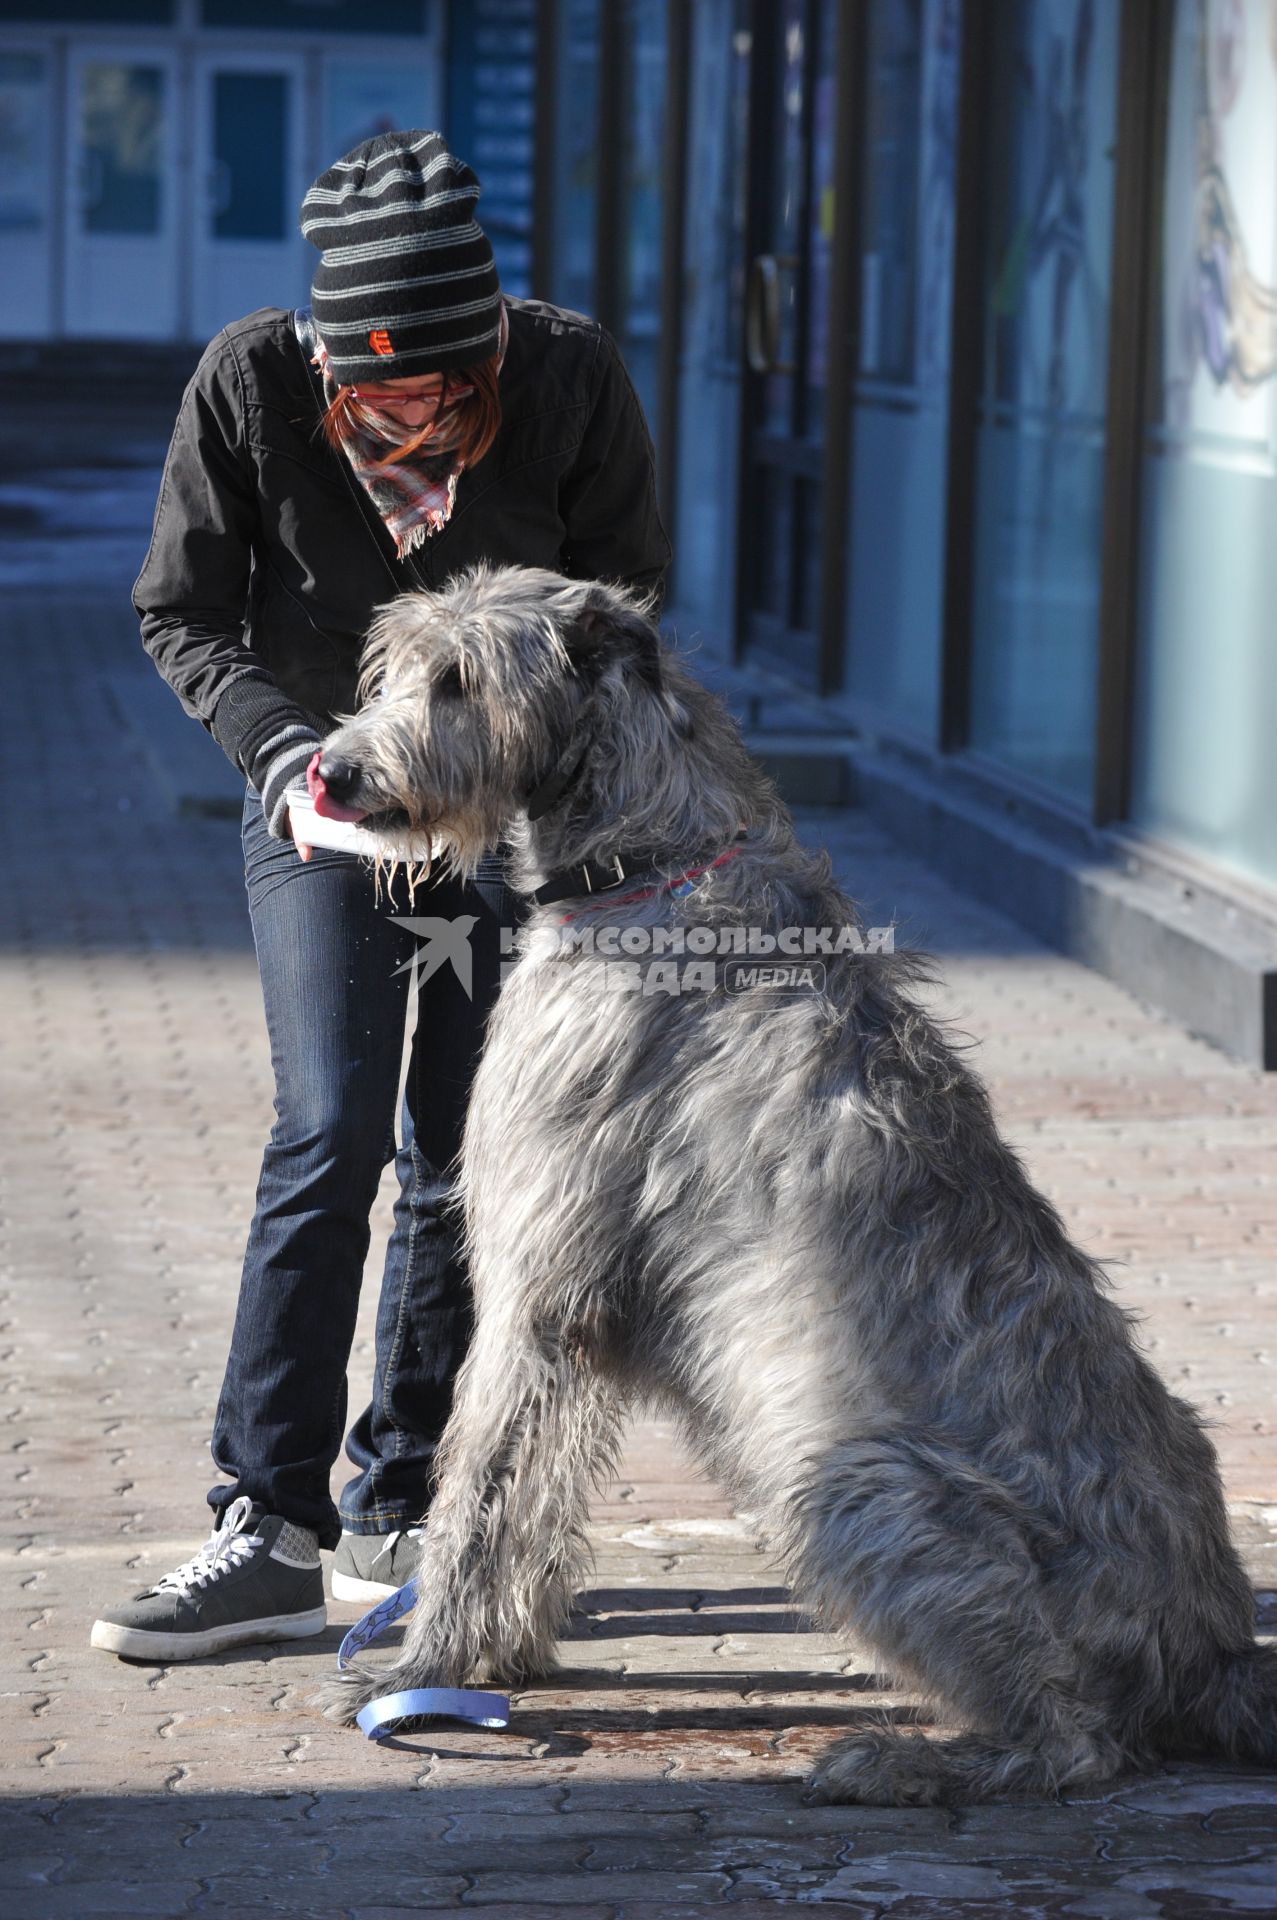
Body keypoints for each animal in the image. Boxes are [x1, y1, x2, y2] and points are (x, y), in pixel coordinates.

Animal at [311, 560, 1275, 1804]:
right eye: (389, 668)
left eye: (458, 680)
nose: (331, 772)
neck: (652, 859)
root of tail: (1214, 1651)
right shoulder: (582, 1311)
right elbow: (539, 1485)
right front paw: (502, 1654)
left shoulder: (538, 1282)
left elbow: (479, 1486)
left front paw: (420, 1668)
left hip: (845, 1485)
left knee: (1074, 1747)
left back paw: (895, 1760)